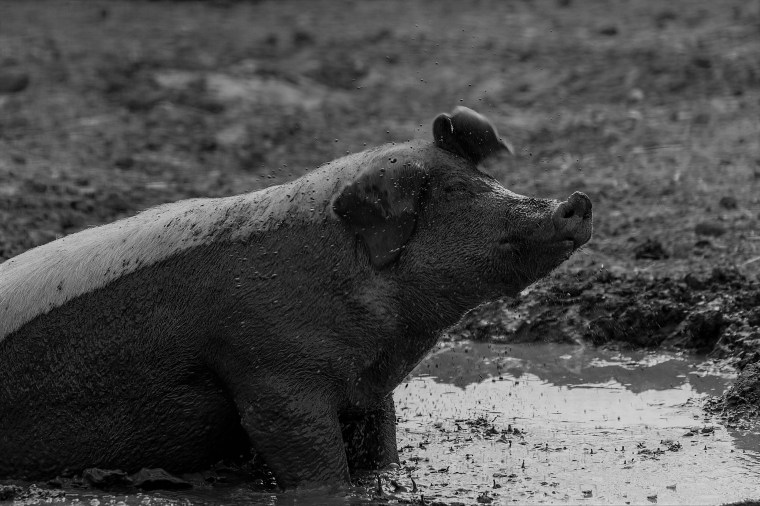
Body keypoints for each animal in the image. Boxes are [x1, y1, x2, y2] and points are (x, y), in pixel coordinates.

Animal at [0, 107, 592, 489]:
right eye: (449, 191)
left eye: (482, 176)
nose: (576, 200)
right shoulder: (268, 370)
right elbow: (306, 456)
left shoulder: (367, 390)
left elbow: (383, 450)